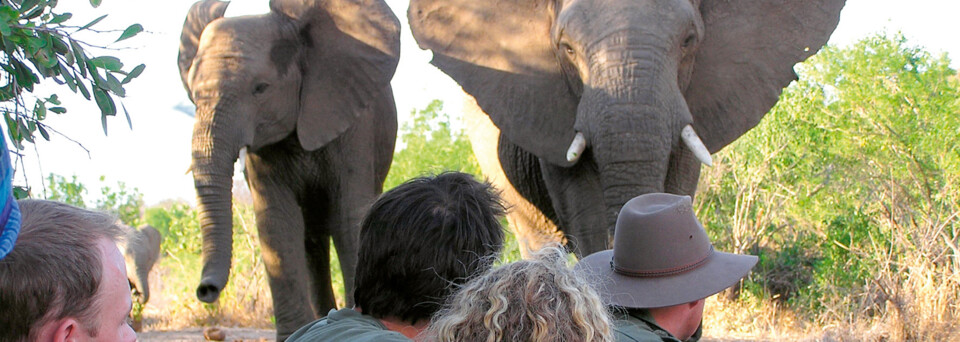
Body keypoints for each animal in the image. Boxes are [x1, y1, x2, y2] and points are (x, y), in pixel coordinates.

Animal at [178, 0, 400, 338]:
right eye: (191, 93)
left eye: (261, 88)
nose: (206, 291)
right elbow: (276, 222)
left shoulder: (354, 123)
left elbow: (350, 215)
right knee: (312, 242)